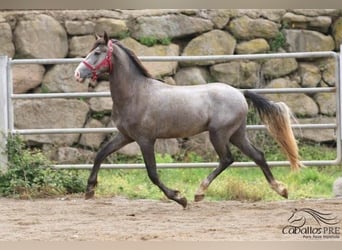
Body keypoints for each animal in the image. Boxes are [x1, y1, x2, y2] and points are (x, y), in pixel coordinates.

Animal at [73, 31, 302, 207]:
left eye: (98, 53)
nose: (77, 74)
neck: (136, 93)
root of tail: (239, 93)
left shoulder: (145, 140)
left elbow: (152, 173)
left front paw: (179, 198)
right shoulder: (125, 136)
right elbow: (101, 154)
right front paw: (89, 189)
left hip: (219, 134)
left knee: (228, 159)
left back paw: (199, 192)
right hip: (237, 134)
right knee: (258, 155)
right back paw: (281, 189)